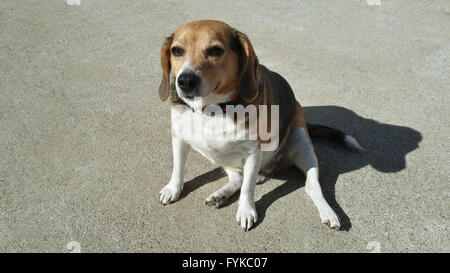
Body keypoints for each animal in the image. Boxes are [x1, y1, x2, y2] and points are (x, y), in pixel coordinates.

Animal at [158, 20, 362, 231]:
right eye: (176, 51)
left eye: (215, 50)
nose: (185, 81)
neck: (212, 110)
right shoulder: (178, 137)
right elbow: (178, 168)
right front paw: (173, 188)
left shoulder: (253, 152)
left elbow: (248, 188)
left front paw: (246, 210)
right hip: (225, 157)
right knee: (238, 178)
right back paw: (220, 196)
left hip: (302, 142)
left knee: (311, 186)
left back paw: (329, 213)